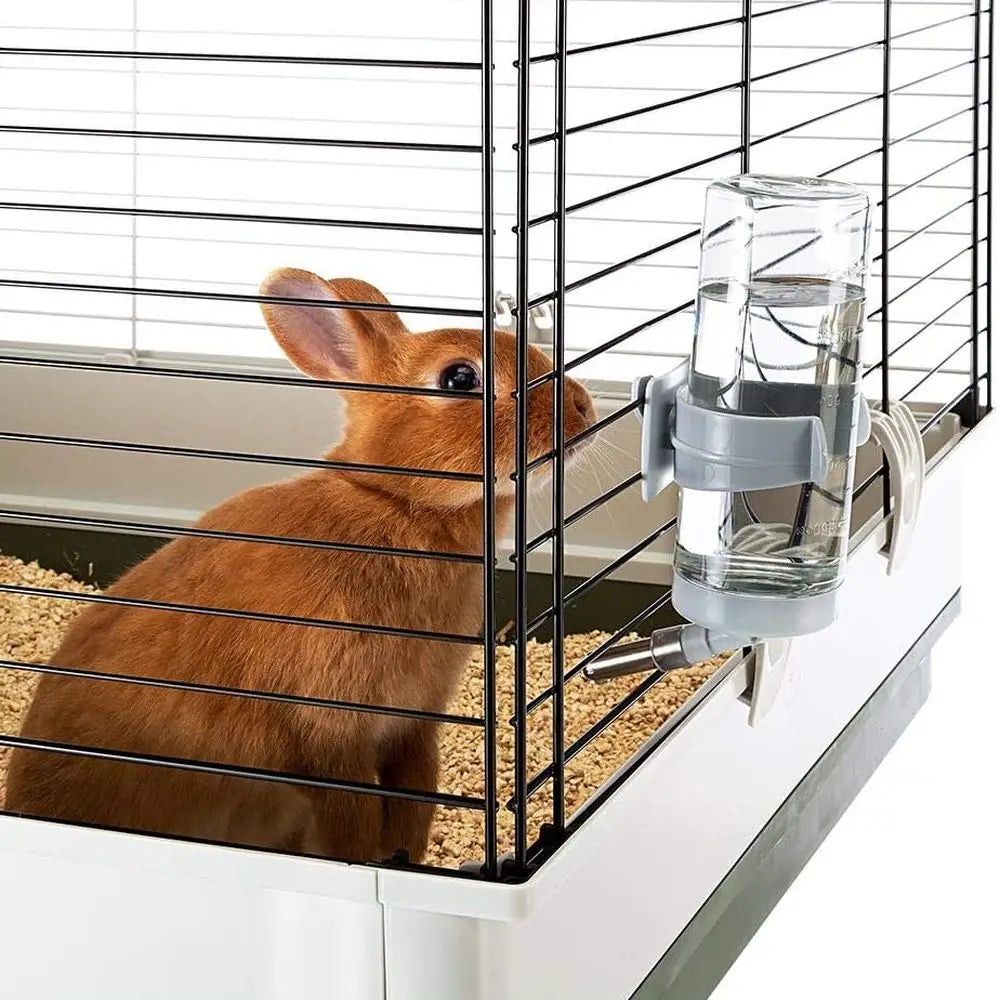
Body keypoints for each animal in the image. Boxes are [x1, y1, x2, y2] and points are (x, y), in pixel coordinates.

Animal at [5, 268, 597, 864]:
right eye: (459, 378)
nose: (580, 405)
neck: (397, 503)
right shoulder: (328, 739)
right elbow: (353, 826)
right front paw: (369, 862)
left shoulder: (413, 727)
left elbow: (413, 808)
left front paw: (404, 858)